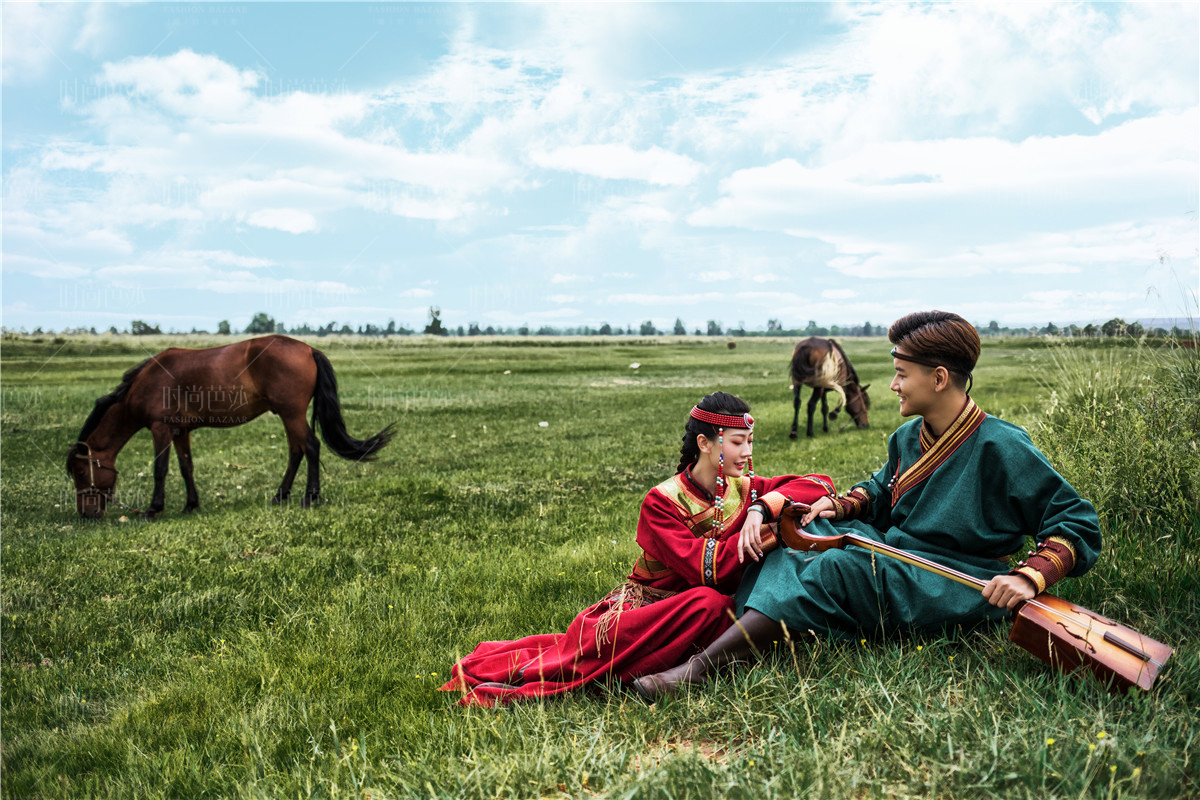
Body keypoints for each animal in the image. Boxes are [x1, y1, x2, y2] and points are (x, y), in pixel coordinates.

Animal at [69, 335, 393, 520]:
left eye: (82, 472)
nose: (86, 514)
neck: (146, 383)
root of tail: (307, 349)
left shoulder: (160, 430)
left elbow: (160, 470)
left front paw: (153, 509)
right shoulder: (180, 431)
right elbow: (186, 467)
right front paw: (191, 505)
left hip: (292, 414)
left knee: (310, 447)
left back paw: (308, 498)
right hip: (288, 416)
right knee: (296, 451)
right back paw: (280, 496)